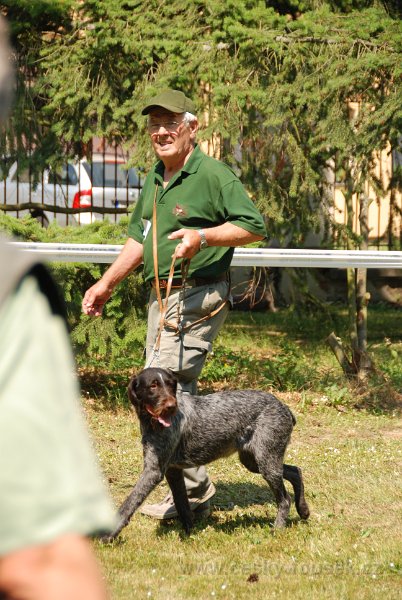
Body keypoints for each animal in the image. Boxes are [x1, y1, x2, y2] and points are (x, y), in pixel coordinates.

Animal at [105, 366, 310, 540]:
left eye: (171, 384)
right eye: (153, 385)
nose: (171, 406)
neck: (153, 423)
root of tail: (284, 407)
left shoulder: (153, 472)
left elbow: (129, 503)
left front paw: (108, 534)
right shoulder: (173, 471)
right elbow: (182, 505)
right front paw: (189, 533)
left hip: (266, 460)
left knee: (284, 499)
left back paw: (278, 529)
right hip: (254, 460)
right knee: (295, 471)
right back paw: (303, 510)